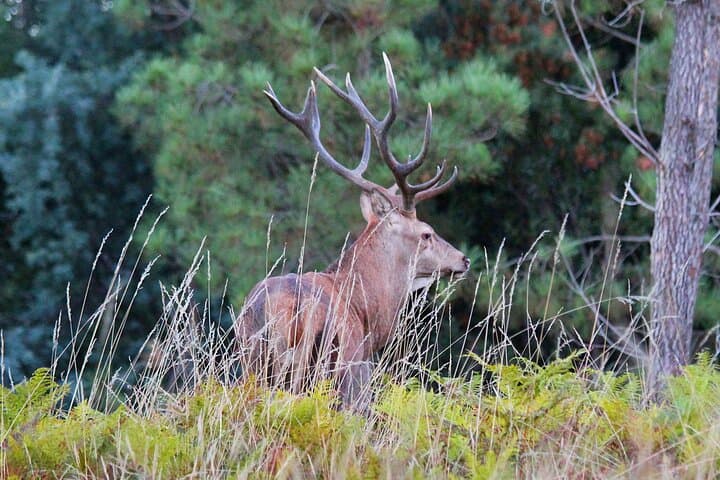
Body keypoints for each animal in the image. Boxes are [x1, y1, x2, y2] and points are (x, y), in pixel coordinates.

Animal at [235, 54, 470, 409]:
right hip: (332, 368)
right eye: (426, 233)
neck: (366, 310)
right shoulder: (359, 372)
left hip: (252, 361)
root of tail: (289, 310)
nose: (463, 259)